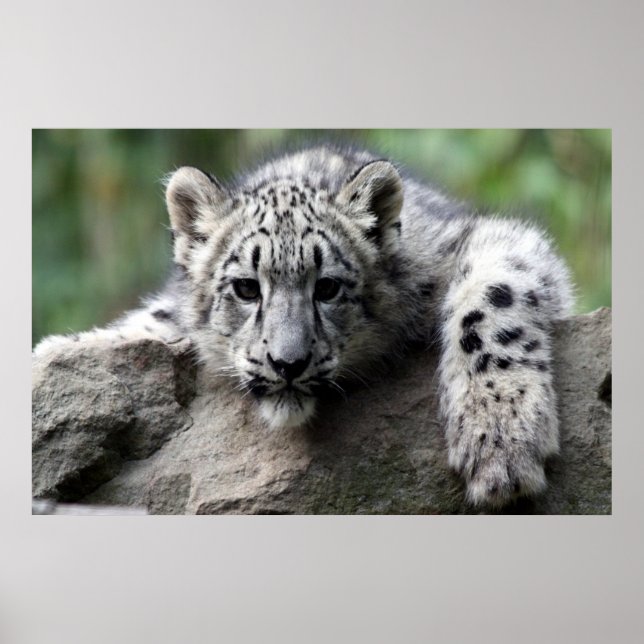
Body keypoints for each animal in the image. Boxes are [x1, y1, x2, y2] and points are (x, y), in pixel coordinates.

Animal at [34, 144, 573, 508]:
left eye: (328, 287)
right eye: (246, 288)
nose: (287, 362)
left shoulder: (488, 241)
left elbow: (493, 296)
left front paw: (500, 440)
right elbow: (151, 322)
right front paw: (59, 359)